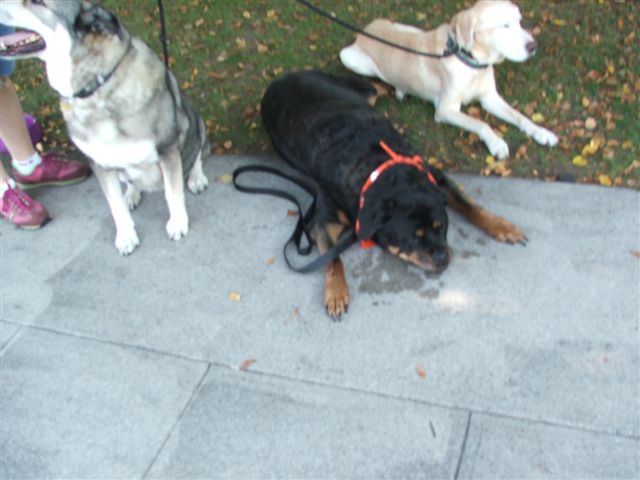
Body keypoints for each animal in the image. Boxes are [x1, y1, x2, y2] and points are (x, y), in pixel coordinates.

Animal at [0, 0, 210, 255]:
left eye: (38, 2)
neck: (98, 90)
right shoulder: (99, 162)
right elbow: (115, 205)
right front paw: (126, 236)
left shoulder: (167, 149)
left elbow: (173, 192)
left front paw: (178, 222)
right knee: (129, 181)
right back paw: (132, 194)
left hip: (196, 123)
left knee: (197, 155)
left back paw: (196, 177)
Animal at [261, 71, 525, 318]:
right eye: (412, 237)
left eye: (441, 226)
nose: (442, 257)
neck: (377, 173)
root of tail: (280, 79)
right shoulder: (322, 219)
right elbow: (332, 259)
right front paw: (336, 292)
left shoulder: (435, 177)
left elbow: (470, 205)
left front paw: (502, 227)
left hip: (357, 91)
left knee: (374, 87)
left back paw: (396, 88)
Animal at [339, 0, 558, 160]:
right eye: (504, 26)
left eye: (519, 22)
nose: (533, 46)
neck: (472, 62)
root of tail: (366, 29)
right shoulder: (445, 110)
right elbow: (480, 123)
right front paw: (496, 143)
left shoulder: (490, 98)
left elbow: (520, 116)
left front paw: (541, 132)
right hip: (351, 58)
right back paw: (401, 89)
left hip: (411, 28)